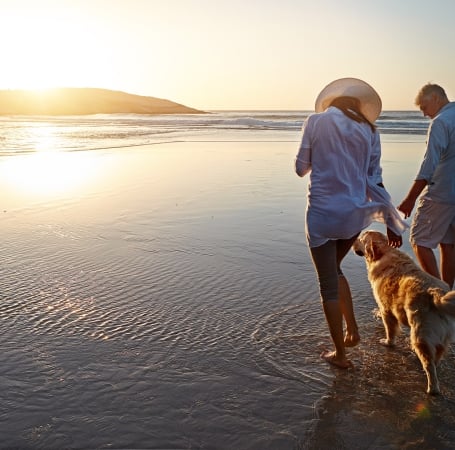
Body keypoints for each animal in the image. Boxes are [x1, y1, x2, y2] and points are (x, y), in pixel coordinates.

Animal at [352, 232, 455, 394]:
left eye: (361, 238)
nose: (351, 242)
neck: (384, 253)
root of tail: (437, 294)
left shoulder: (386, 308)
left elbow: (390, 329)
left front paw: (388, 342)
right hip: (443, 336)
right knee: (437, 354)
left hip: (420, 335)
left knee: (429, 365)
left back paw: (432, 388)